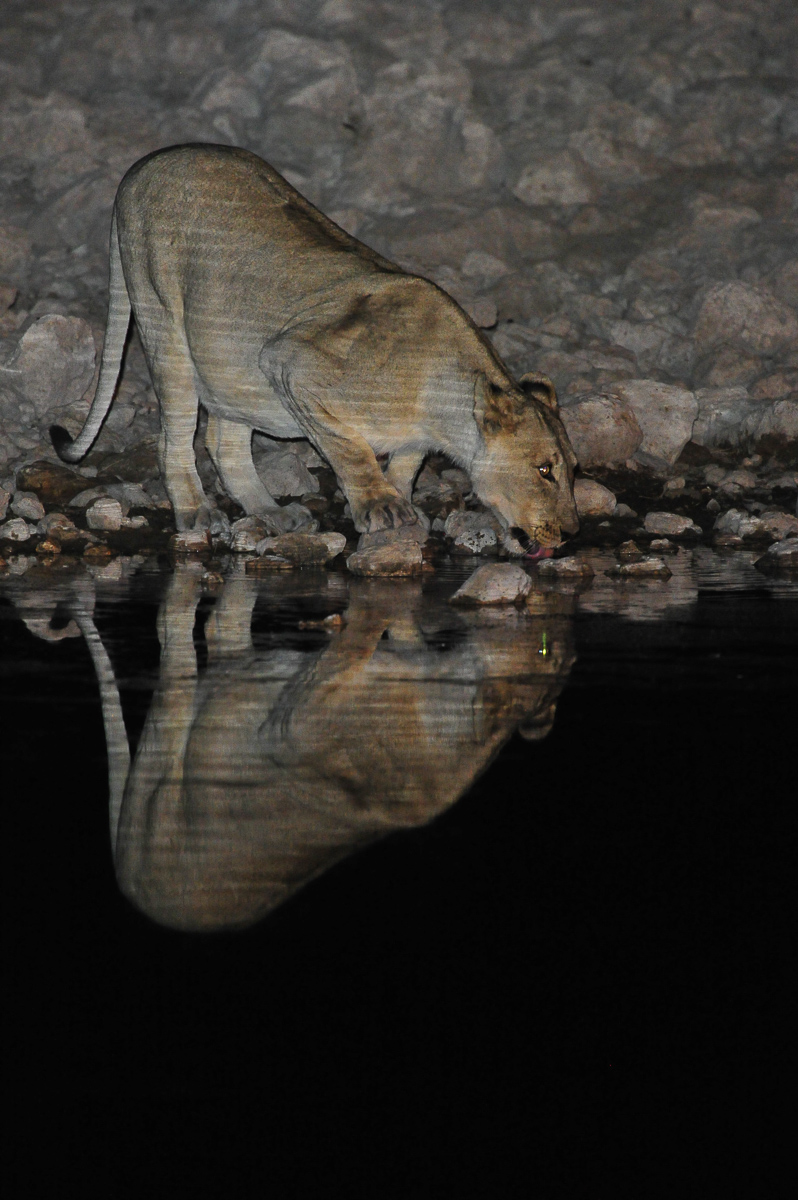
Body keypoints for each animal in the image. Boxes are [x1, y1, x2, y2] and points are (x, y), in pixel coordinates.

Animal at [53, 144, 578, 554]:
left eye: (573, 470)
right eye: (544, 470)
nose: (573, 532)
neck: (440, 409)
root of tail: (146, 162)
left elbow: (407, 460)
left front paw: (402, 498)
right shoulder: (290, 362)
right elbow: (348, 448)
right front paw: (380, 506)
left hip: (228, 358)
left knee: (223, 441)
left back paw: (271, 513)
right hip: (162, 314)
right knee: (176, 437)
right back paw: (198, 512)